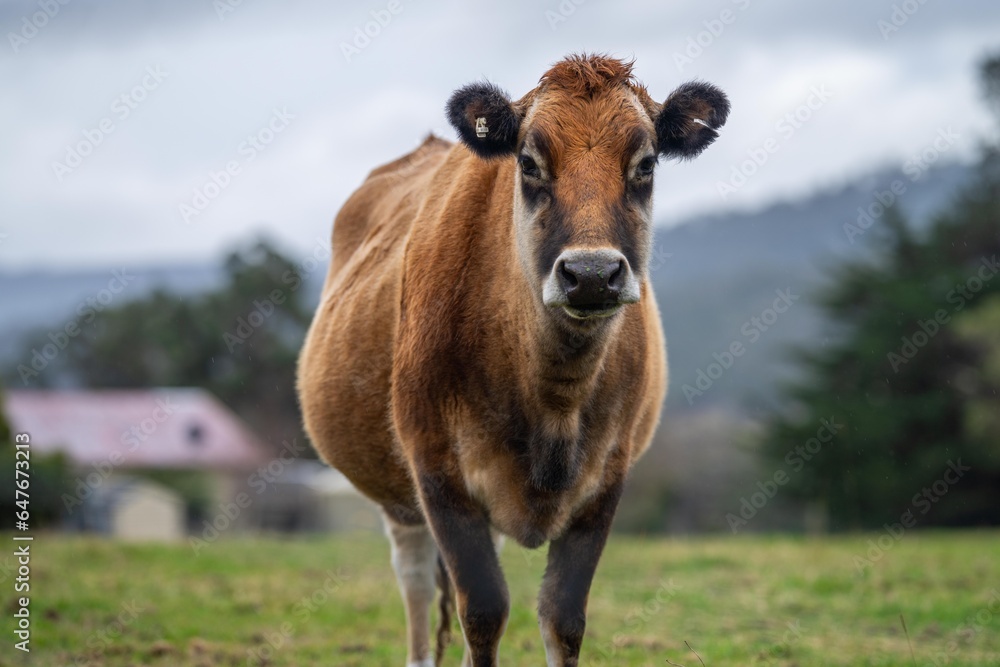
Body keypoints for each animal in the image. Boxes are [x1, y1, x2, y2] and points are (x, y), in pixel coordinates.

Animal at [296, 54, 728, 664]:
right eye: (528, 162)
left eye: (646, 164)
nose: (590, 273)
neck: (554, 400)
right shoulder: (437, 472)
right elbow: (483, 611)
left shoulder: (606, 479)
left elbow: (563, 618)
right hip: (398, 497)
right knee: (415, 583)